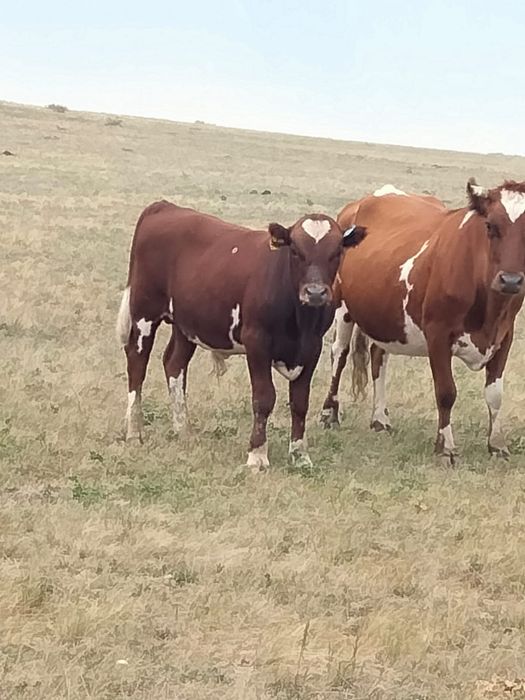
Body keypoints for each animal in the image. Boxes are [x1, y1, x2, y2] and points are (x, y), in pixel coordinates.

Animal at [116, 201, 366, 468]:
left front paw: (300, 455)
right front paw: (257, 455)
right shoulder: (257, 343)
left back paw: (183, 430)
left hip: (186, 324)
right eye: (296, 250)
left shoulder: (312, 347)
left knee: (174, 365)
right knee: (137, 365)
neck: (300, 320)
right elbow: (264, 398)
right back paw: (134, 431)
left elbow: (300, 402)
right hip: (144, 313)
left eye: (337, 251)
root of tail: (164, 206)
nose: (315, 292)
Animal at [321, 180, 525, 464]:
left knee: (378, 357)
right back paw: (330, 413)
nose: (511, 280)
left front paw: (497, 445)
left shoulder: (504, 335)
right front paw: (446, 446)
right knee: (339, 354)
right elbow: (446, 392)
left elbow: (495, 395)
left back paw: (380, 418)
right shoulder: (438, 334)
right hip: (342, 305)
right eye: (490, 226)